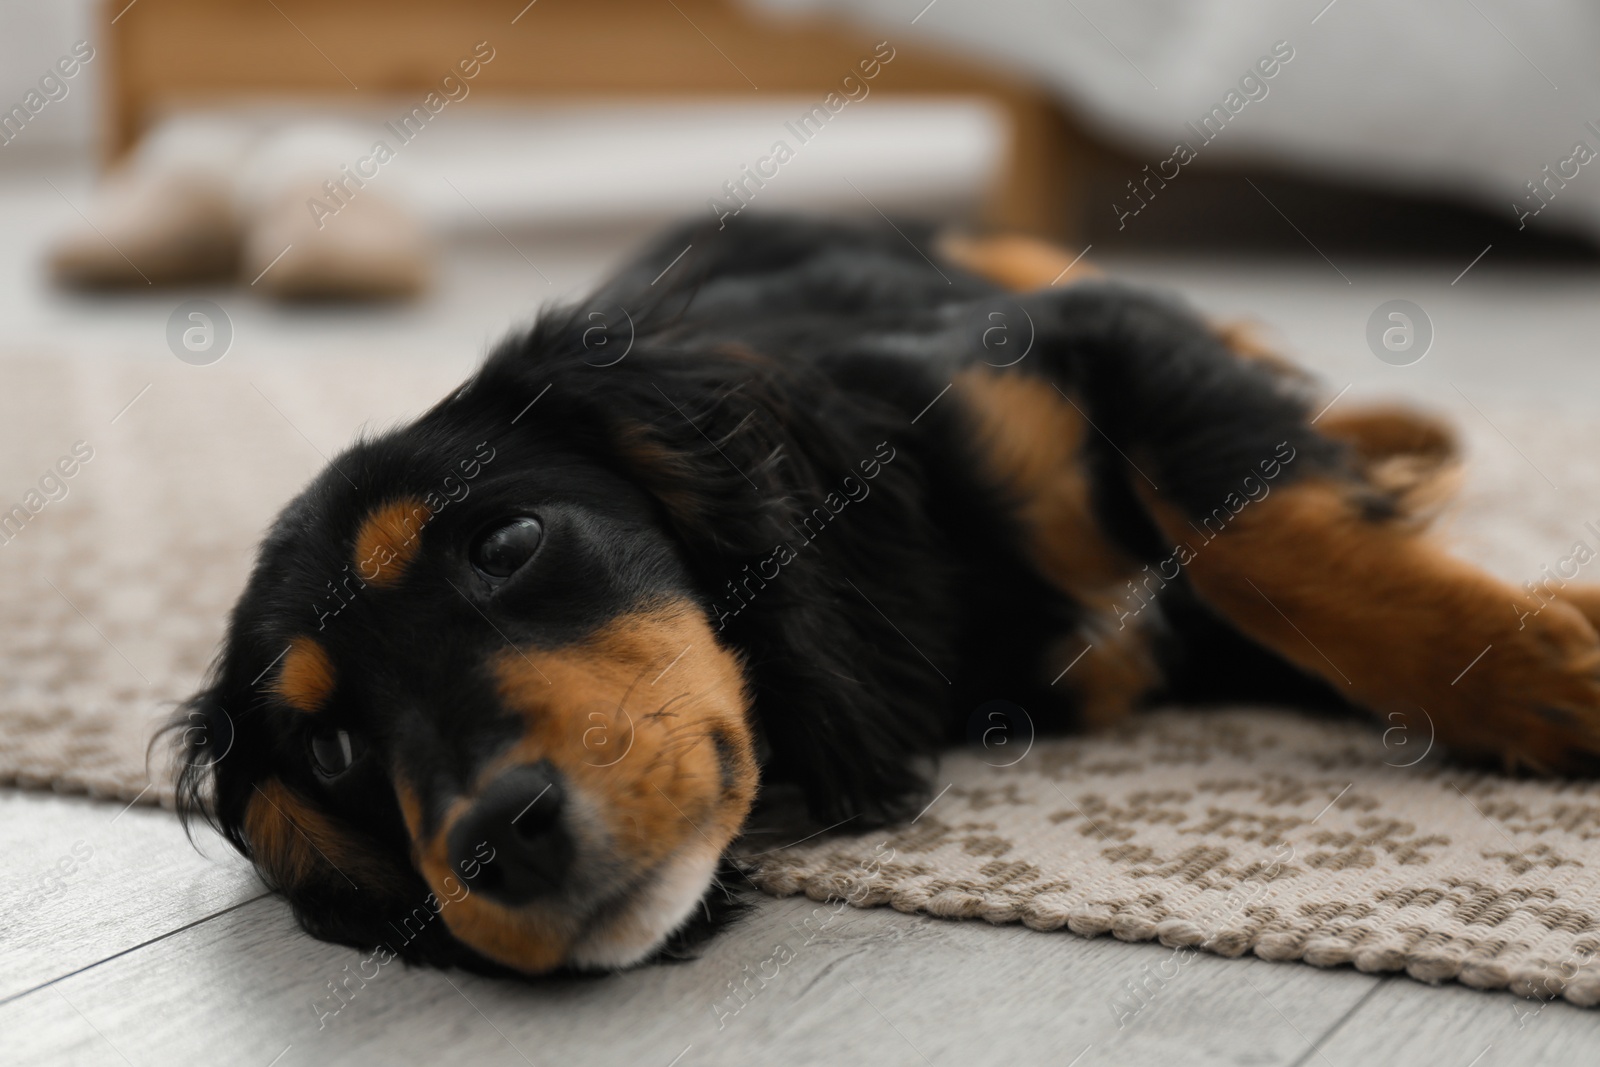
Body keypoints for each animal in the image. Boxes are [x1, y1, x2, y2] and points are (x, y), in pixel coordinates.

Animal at [168, 214, 1600, 979]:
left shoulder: (1093, 334)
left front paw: (1541, 666)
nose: (497, 842)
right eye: (328, 749)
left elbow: (1263, 537)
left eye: (508, 540)